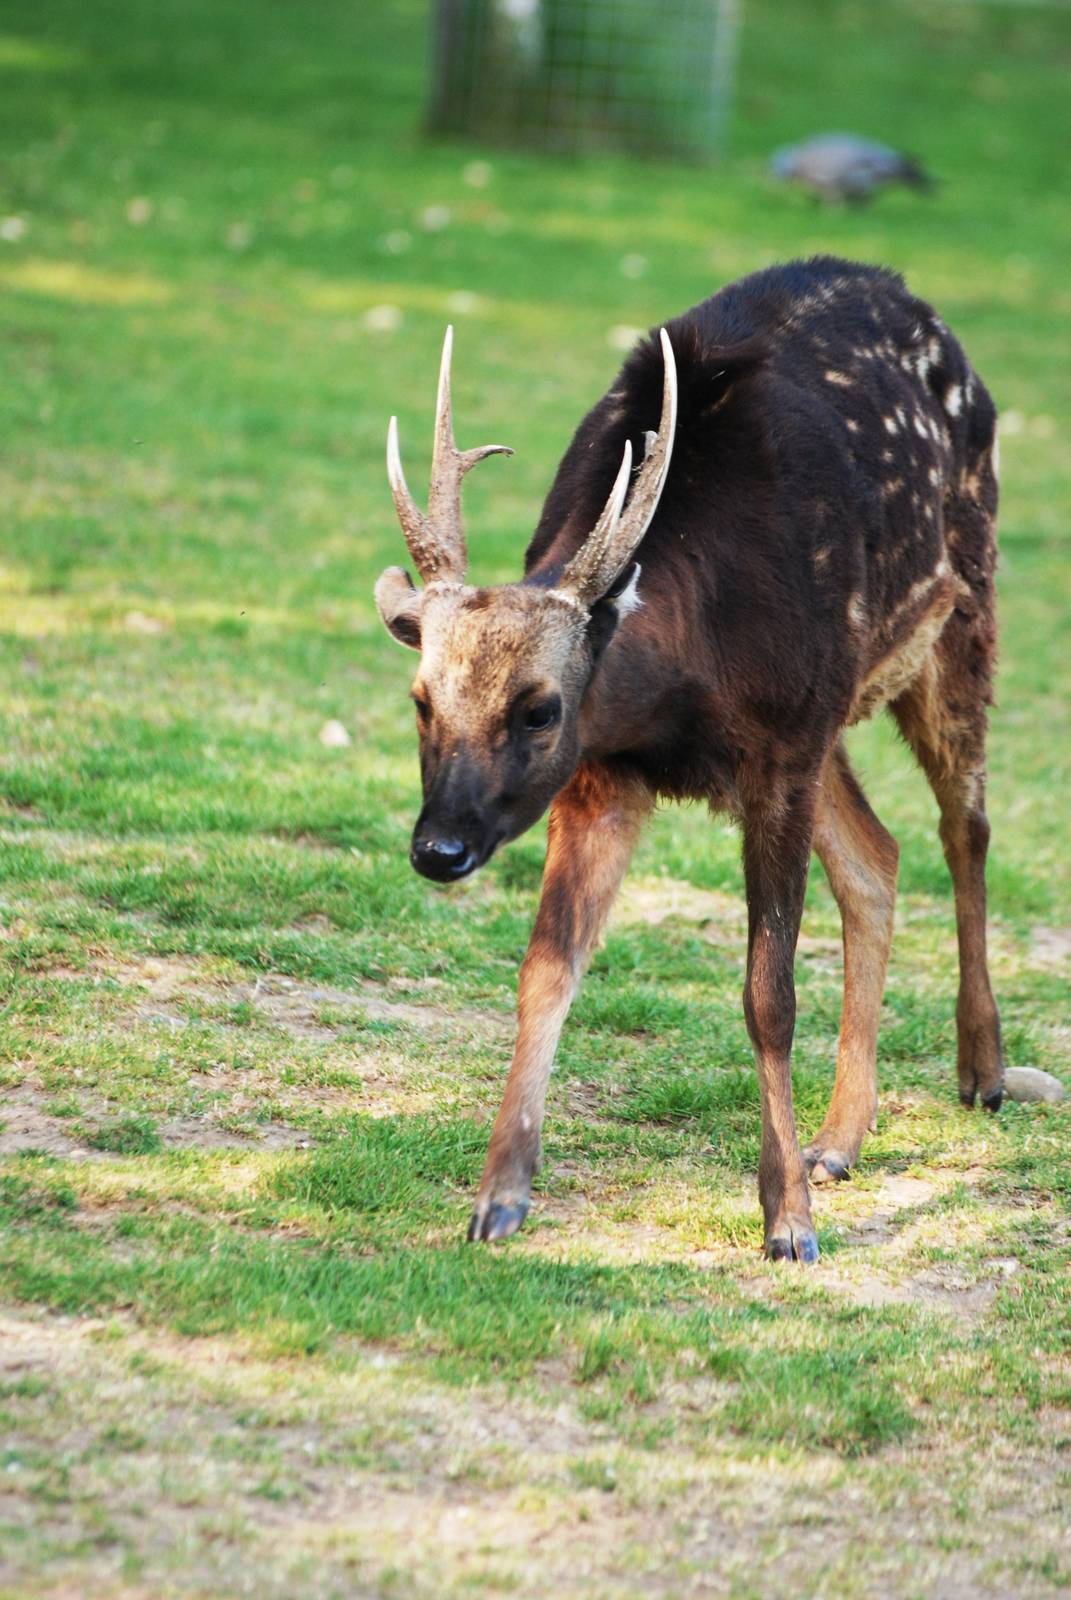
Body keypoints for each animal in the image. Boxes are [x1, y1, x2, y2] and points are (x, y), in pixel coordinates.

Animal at [374, 256, 1005, 1263]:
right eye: (421, 699)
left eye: (540, 707)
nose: (438, 848)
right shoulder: (606, 777)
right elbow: (545, 967)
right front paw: (498, 1196)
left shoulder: (778, 755)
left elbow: (768, 994)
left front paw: (786, 1221)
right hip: (831, 716)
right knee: (877, 855)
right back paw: (840, 1138)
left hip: (958, 618)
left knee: (964, 826)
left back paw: (981, 1069)